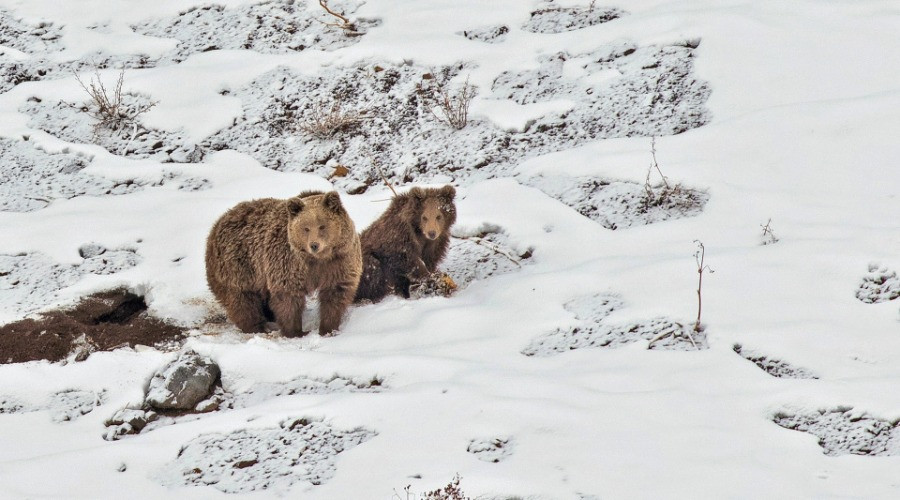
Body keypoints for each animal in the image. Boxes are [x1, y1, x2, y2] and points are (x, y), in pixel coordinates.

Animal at [205, 190, 362, 337]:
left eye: (322, 226)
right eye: (306, 228)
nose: (314, 245)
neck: (317, 259)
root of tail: (217, 224)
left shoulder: (338, 261)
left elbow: (335, 294)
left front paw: (328, 329)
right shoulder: (288, 261)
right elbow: (288, 296)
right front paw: (295, 331)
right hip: (239, 264)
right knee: (242, 298)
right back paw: (257, 327)